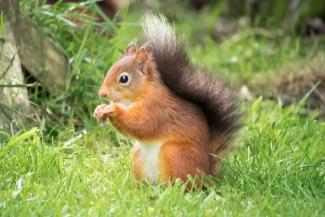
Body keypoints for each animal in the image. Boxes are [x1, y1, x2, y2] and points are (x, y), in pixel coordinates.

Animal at [92, 14, 239, 186]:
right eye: (110, 69)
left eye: (124, 79)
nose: (102, 93)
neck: (136, 97)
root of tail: (206, 174)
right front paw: (99, 109)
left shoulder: (156, 107)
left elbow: (141, 124)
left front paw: (113, 109)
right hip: (138, 156)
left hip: (174, 153)